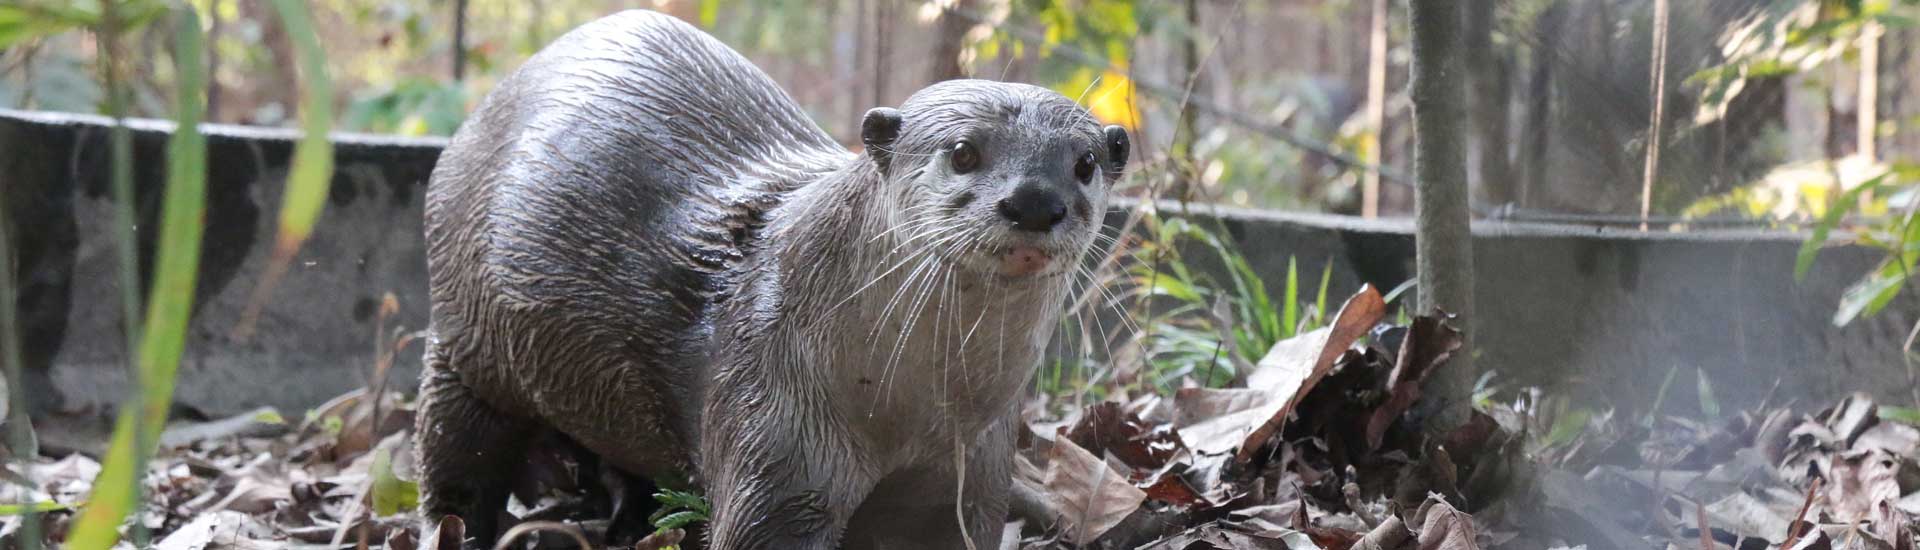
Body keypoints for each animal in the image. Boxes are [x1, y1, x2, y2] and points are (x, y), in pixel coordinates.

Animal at [415, 9, 1129, 549]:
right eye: (963, 151)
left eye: (1086, 162)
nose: (1035, 201)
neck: (909, 410)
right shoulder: (776, 431)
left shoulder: (970, 476)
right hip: (468, 332)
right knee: (457, 454)